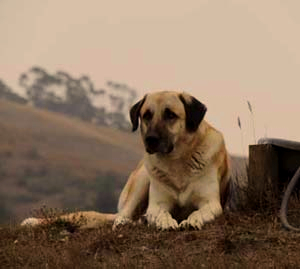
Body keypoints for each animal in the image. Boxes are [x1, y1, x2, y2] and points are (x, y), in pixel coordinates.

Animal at [21, 90, 232, 230]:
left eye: (170, 115)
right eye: (146, 115)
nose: (151, 140)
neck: (177, 162)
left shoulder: (211, 203)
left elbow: (199, 211)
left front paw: (193, 220)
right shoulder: (157, 204)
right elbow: (160, 212)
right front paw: (165, 222)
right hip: (142, 177)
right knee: (122, 216)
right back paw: (128, 222)